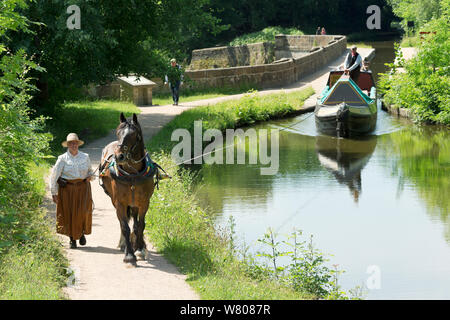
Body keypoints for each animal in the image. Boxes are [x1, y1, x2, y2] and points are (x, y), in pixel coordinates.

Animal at [99, 112, 157, 264]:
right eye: (118, 132)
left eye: (134, 135)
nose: (119, 156)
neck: (132, 175)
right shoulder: (120, 203)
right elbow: (125, 226)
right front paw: (129, 254)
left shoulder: (144, 203)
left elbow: (141, 225)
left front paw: (140, 249)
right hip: (116, 201)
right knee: (122, 222)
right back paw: (124, 244)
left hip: (135, 203)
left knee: (136, 224)